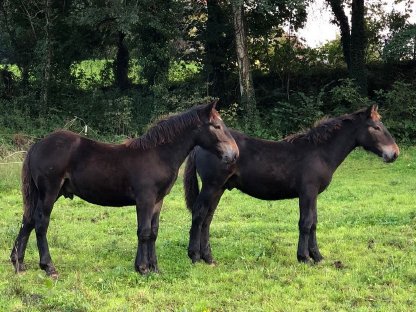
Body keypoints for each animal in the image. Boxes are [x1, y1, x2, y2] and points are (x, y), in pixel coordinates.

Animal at [11, 101, 239, 276]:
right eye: (216, 126)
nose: (234, 154)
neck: (158, 155)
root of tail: (36, 146)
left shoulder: (158, 201)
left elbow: (153, 232)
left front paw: (155, 268)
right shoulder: (145, 199)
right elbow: (143, 231)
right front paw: (143, 268)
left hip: (46, 193)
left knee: (28, 220)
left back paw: (18, 263)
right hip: (49, 192)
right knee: (41, 223)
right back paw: (48, 267)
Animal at [184, 105, 400, 264]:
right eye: (376, 127)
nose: (395, 153)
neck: (319, 152)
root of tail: (198, 146)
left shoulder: (313, 195)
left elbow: (314, 222)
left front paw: (317, 256)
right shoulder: (307, 192)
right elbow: (305, 222)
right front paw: (304, 257)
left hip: (219, 189)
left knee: (207, 219)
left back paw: (208, 258)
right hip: (211, 186)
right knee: (199, 215)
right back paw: (195, 256)